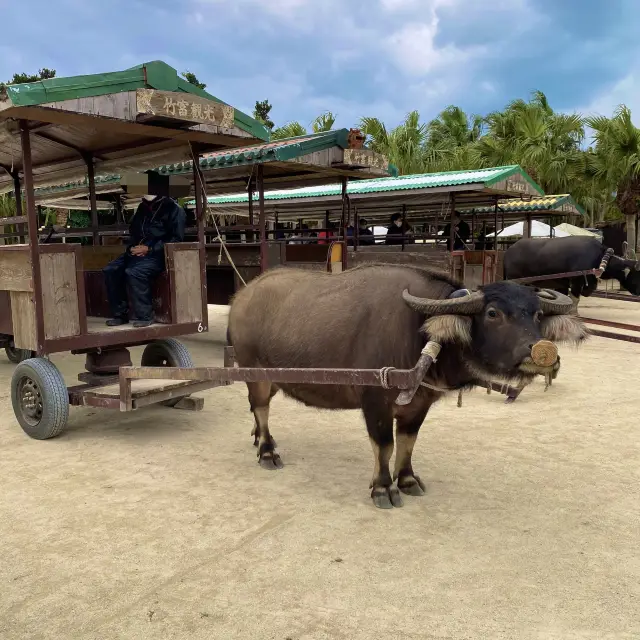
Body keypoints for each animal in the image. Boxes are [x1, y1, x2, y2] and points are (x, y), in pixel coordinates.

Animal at [228, 262, 588, 508]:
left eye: (537, 313)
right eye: (492, 313)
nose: (541, 351)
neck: (422, 335)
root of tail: (242, 296)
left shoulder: (419, 405)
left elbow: (407, 443)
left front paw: (408, 480)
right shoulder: (375, 401)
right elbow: (384, 446)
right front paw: (383, 488)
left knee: (257, 408)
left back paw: (257, 438)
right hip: (254, 372)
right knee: (261, 407)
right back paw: (267, 451)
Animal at [504, 236, 640, 304]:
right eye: (637, 273)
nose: (638, 292)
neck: (598, 257)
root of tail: (509, 250)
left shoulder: (563, 283)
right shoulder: (576, 280)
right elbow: (575, 297)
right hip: (515, 279)